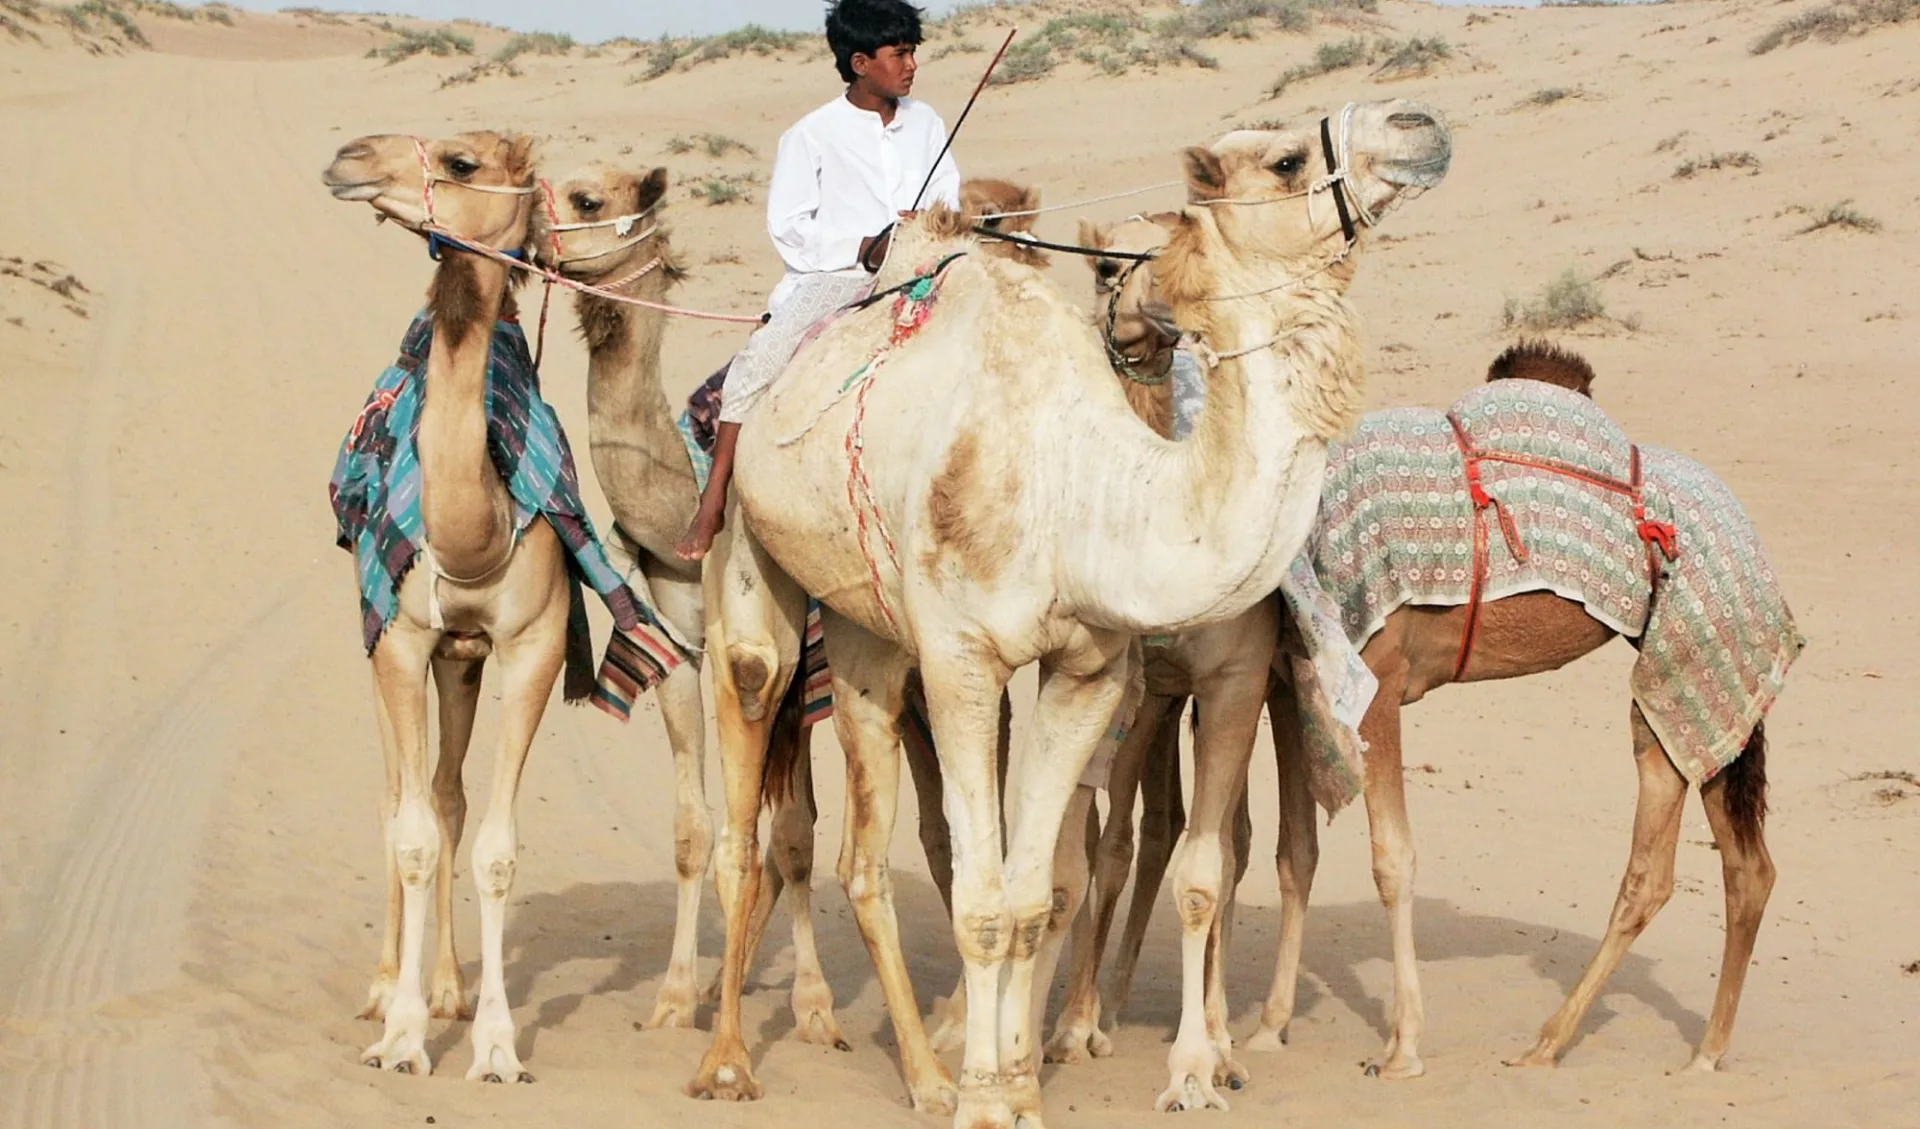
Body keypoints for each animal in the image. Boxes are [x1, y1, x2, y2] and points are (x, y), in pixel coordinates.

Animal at [323, 130, 567, 1082]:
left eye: (463, 163)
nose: (347, 157)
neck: (476, 525)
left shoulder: (535, 644)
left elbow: (492, 844)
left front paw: (495, 1043)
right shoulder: (398, 639)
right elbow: (414, 833)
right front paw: (401, 1034)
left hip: (461, 663)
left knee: (446, 794)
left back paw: (450, 989)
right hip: (382, 640)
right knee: (400, 798)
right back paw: (387, 984)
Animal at [687, 100, 1452, 1128]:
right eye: (1287, 158)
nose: (1421, 122)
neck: (1080, 488)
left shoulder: (1089, 668)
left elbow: (1027, 895)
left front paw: (1015, 1089)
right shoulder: (963, 660)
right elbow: (980, 901)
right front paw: (985, 1099)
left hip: (866, 632)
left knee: (862, 837)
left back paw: (922, 1076)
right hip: (749, 554)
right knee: (747, 751)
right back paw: (732, 1061)